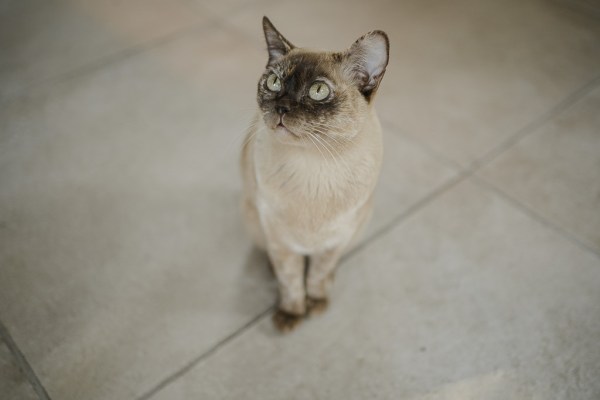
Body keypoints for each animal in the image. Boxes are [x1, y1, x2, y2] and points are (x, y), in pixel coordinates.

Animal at [240, 17, 390, 332]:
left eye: (318, 91)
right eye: (274, 83)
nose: (281, 107)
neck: (316, 166)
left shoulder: (335, 240)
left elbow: (318, 274)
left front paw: (317, 303)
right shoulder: (281, 241)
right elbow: (291, 281)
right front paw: (292, 315)